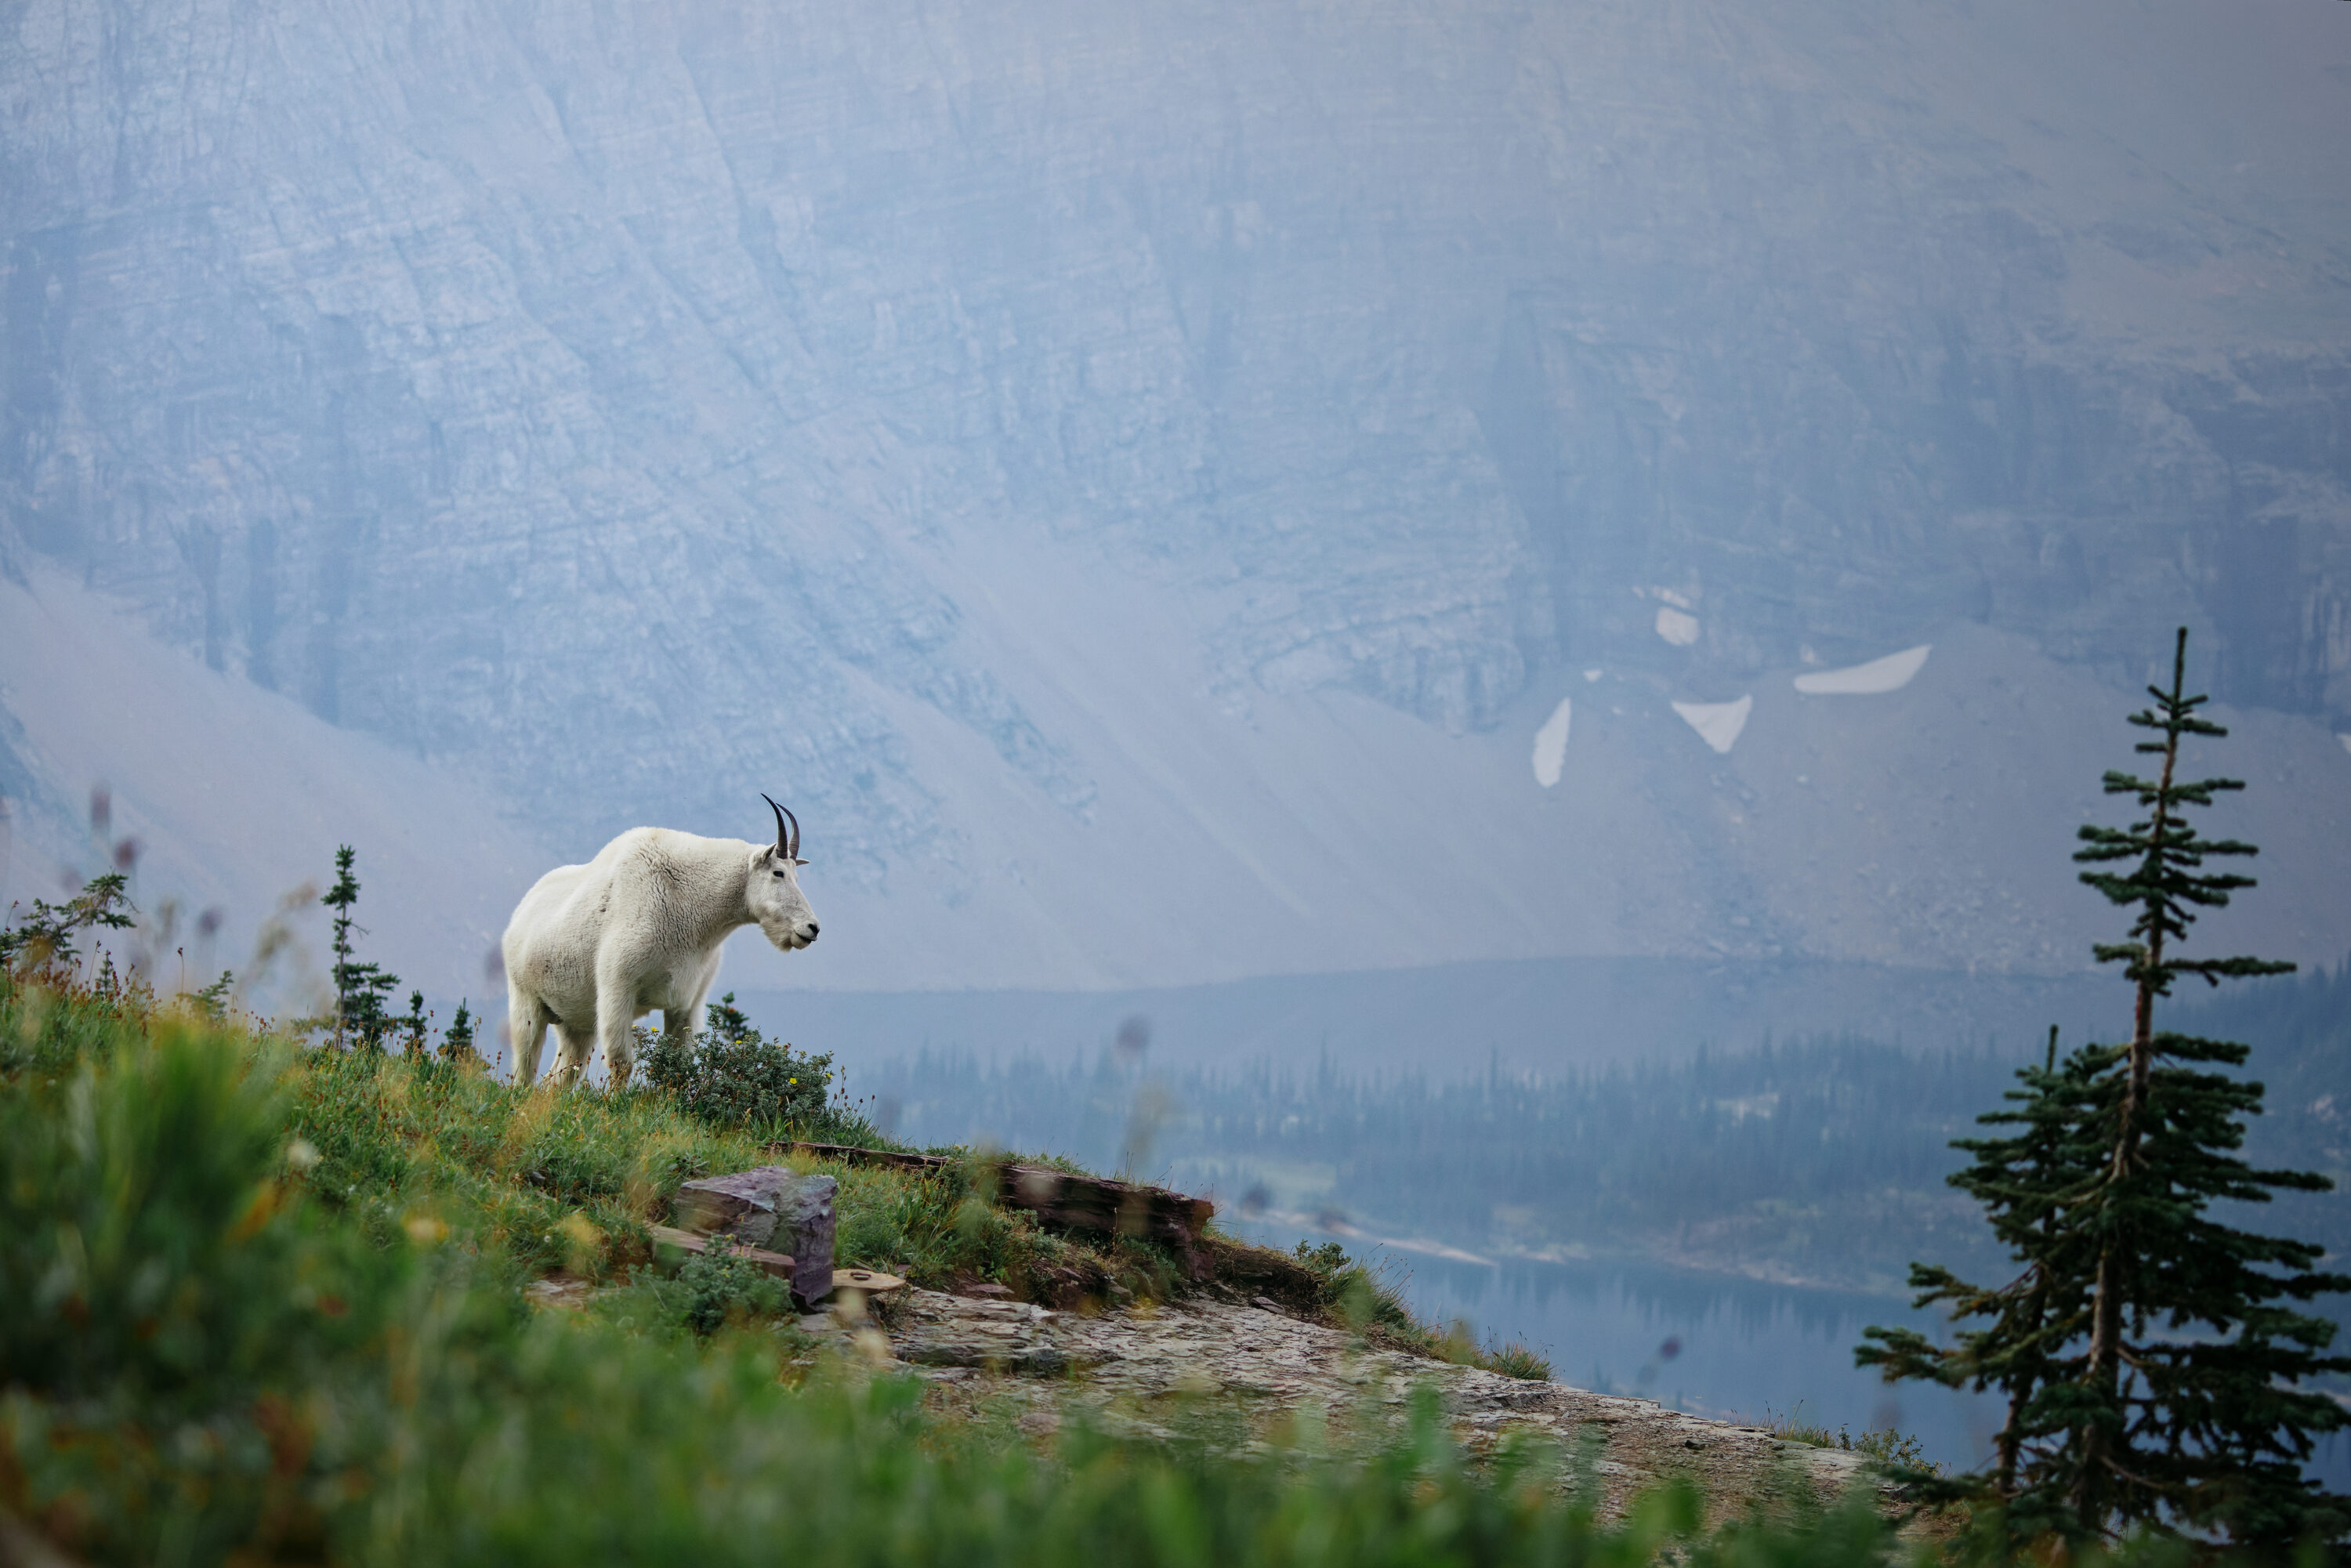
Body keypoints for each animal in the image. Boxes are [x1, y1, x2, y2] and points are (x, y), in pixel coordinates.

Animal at [501, 799, 823, 1091]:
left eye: (796, 874)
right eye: (778, 873)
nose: (812, 928)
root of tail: (518, 916)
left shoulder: (687, 1003)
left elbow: (678, 1063)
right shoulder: (618, 988)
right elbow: (621, 1062)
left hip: (576, 1023)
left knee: (559, 1075)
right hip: (526, 1001)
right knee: (525, 1064)